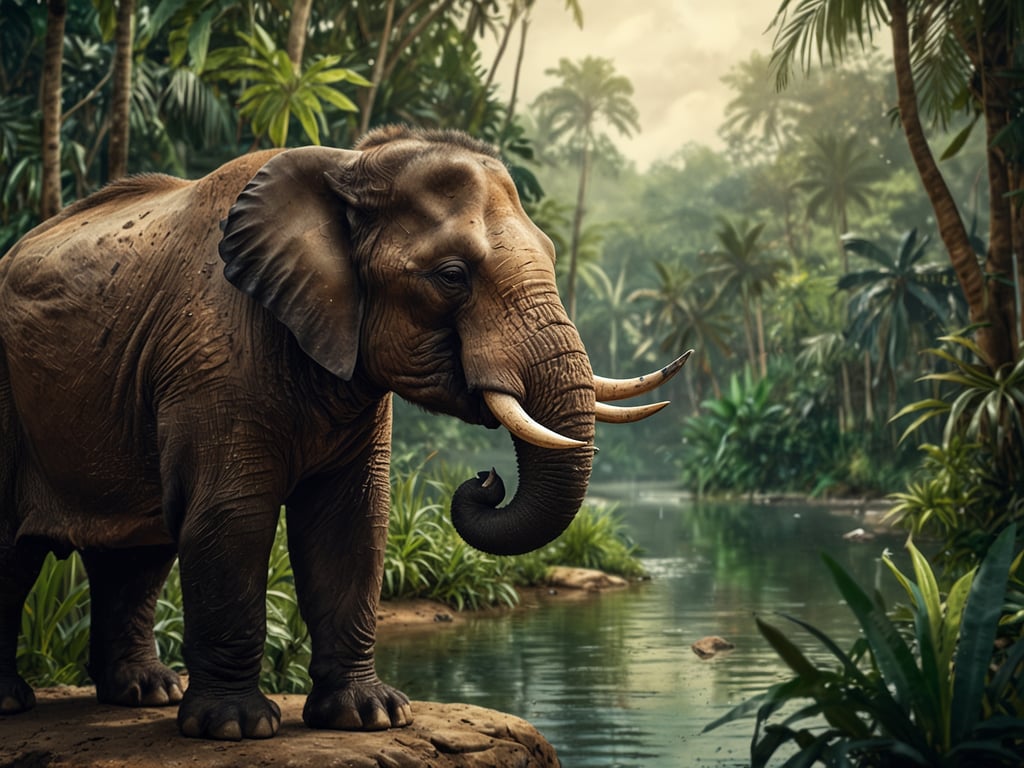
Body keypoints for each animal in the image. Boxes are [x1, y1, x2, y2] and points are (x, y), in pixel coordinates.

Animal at [0, 126, 687, 740]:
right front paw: (236, 729)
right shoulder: (211, 353)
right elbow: (232, 517)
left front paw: (372, 717)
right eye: (452, 276)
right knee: (22, 551)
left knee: (137, 553)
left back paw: (146, 694)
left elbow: (350, 521)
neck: (349, 164)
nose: (485, 479)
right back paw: (21, 704)